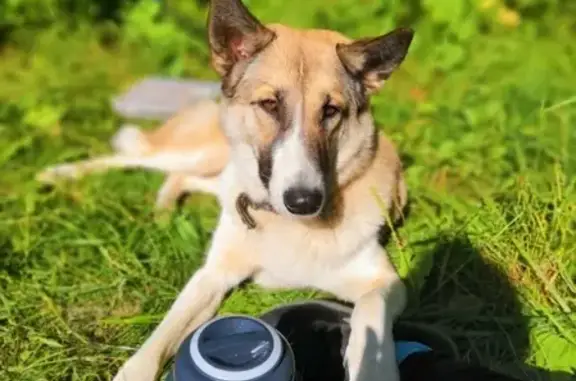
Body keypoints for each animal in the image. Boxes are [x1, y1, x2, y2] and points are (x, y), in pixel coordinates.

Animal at [37, 0, 414, 380]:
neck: (283, 224)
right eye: (270, 104)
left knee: (179, 178)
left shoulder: (385, 282)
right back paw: (58, 173)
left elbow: (370, 313)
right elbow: (161, 335)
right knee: (134, 159)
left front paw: (373, 365)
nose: (304, 201)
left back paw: (163, 213)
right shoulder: (211, 276)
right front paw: (135, 370)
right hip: (200, 152)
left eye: (331, 110)